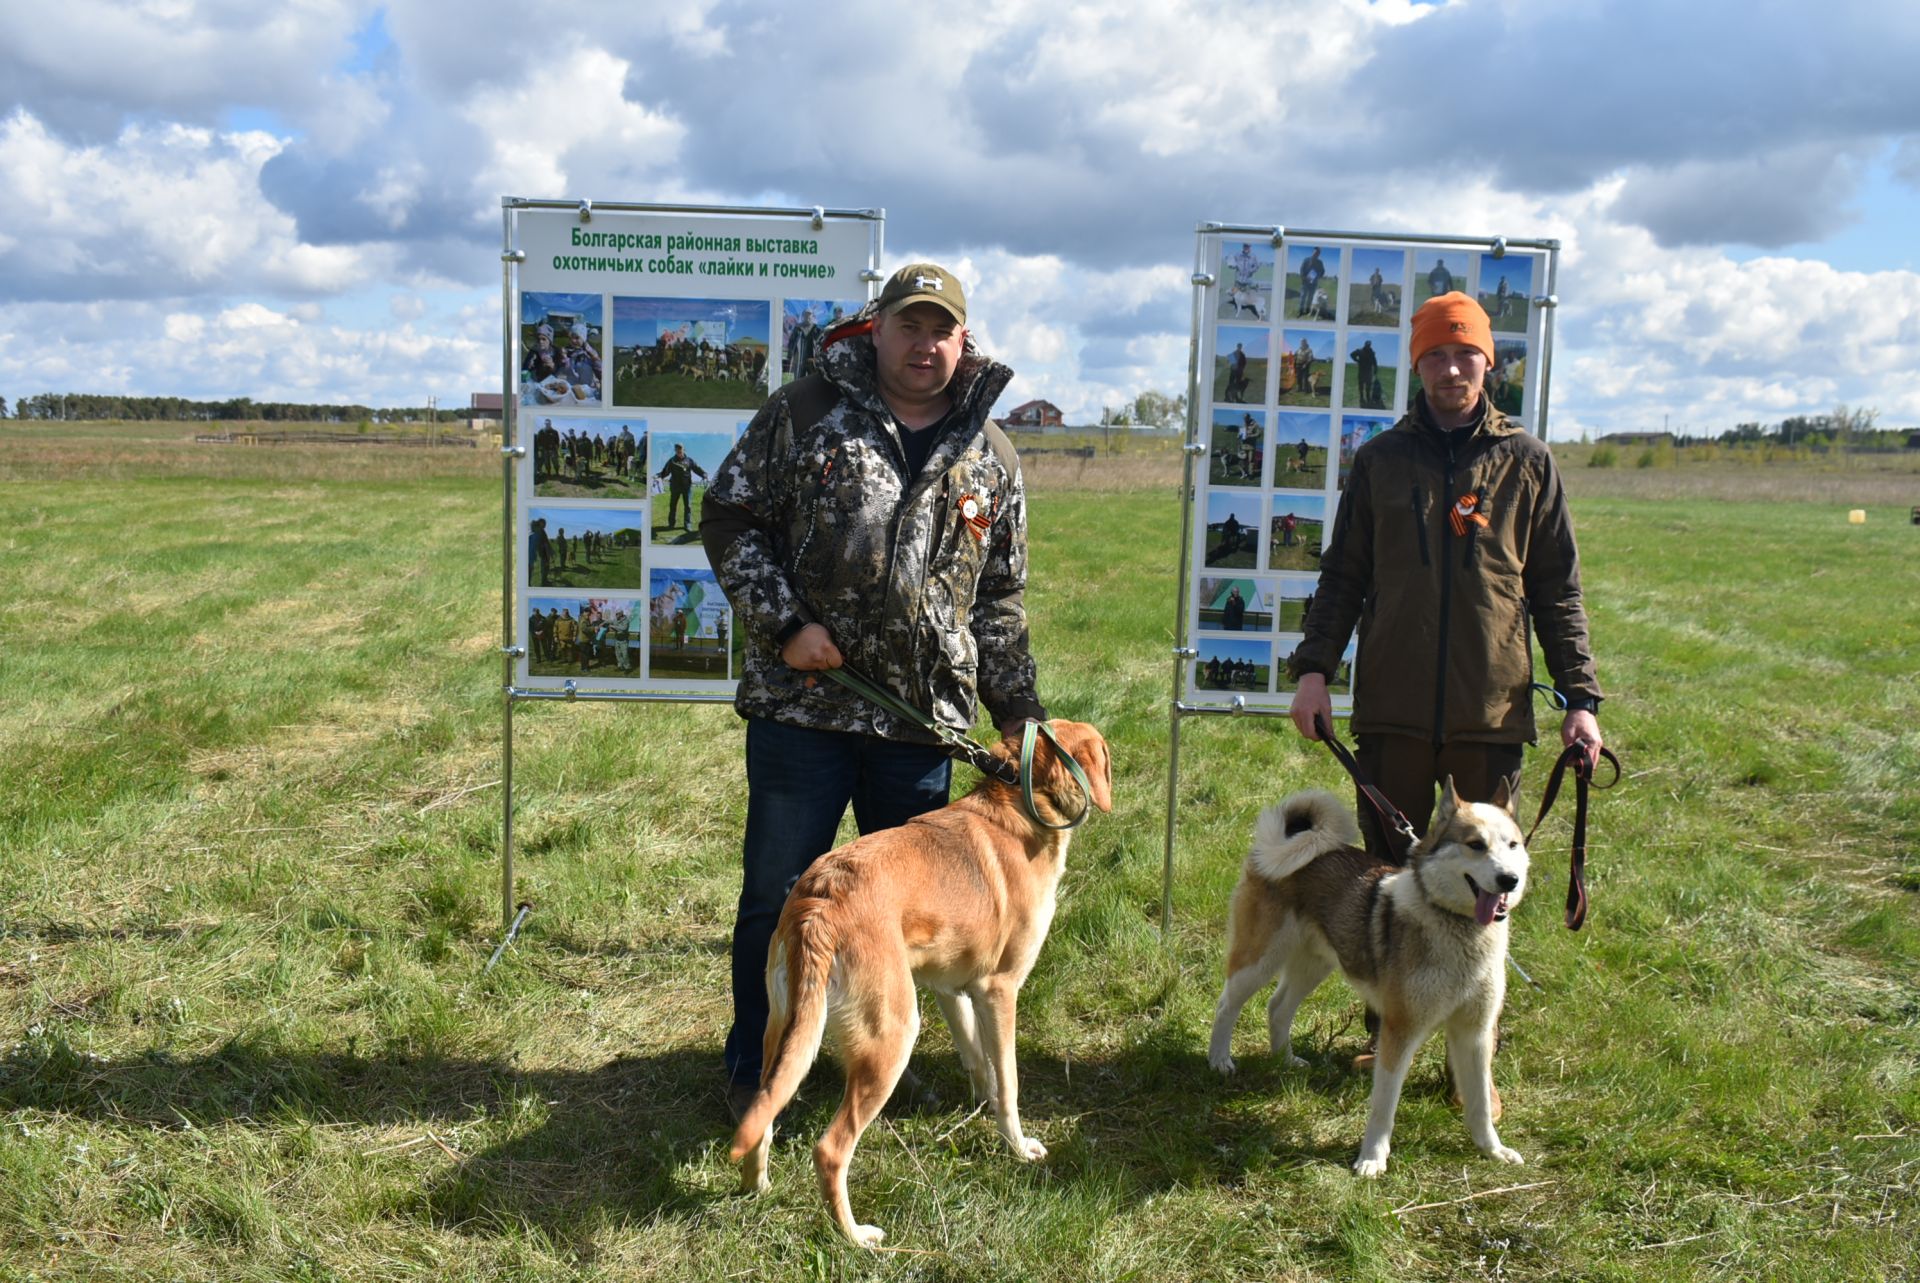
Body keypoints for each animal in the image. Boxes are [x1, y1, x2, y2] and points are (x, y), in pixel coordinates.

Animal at [725, 722, 1113, 1252]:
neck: (1021, 799)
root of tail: (821, 904)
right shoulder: (1000, 991)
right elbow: (1009, 1082)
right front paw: (1016, 1146)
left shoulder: (952, 989)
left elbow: (979, 1062)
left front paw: (981, 1109)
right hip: (894, 1034)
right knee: (830, 1151)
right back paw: (855, 1237)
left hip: (783, 1036)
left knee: (762, 1117)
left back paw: (757, 1188)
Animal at [1213, 775, 1528, 1175]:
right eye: (1475, 845)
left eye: (1513, 845)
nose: (1509, 879)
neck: (1457, 927)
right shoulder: (1400, 1032)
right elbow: (1384, 1106)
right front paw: (1372, 1159)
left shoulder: (1474, 1033)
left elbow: (1480, 1105)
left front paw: (1492, 1150)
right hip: (1259, 960)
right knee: (1227, 1004)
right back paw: (1219, 1060)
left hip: (1315, 964)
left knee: (1278, 1007)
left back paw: (1285, 1060)